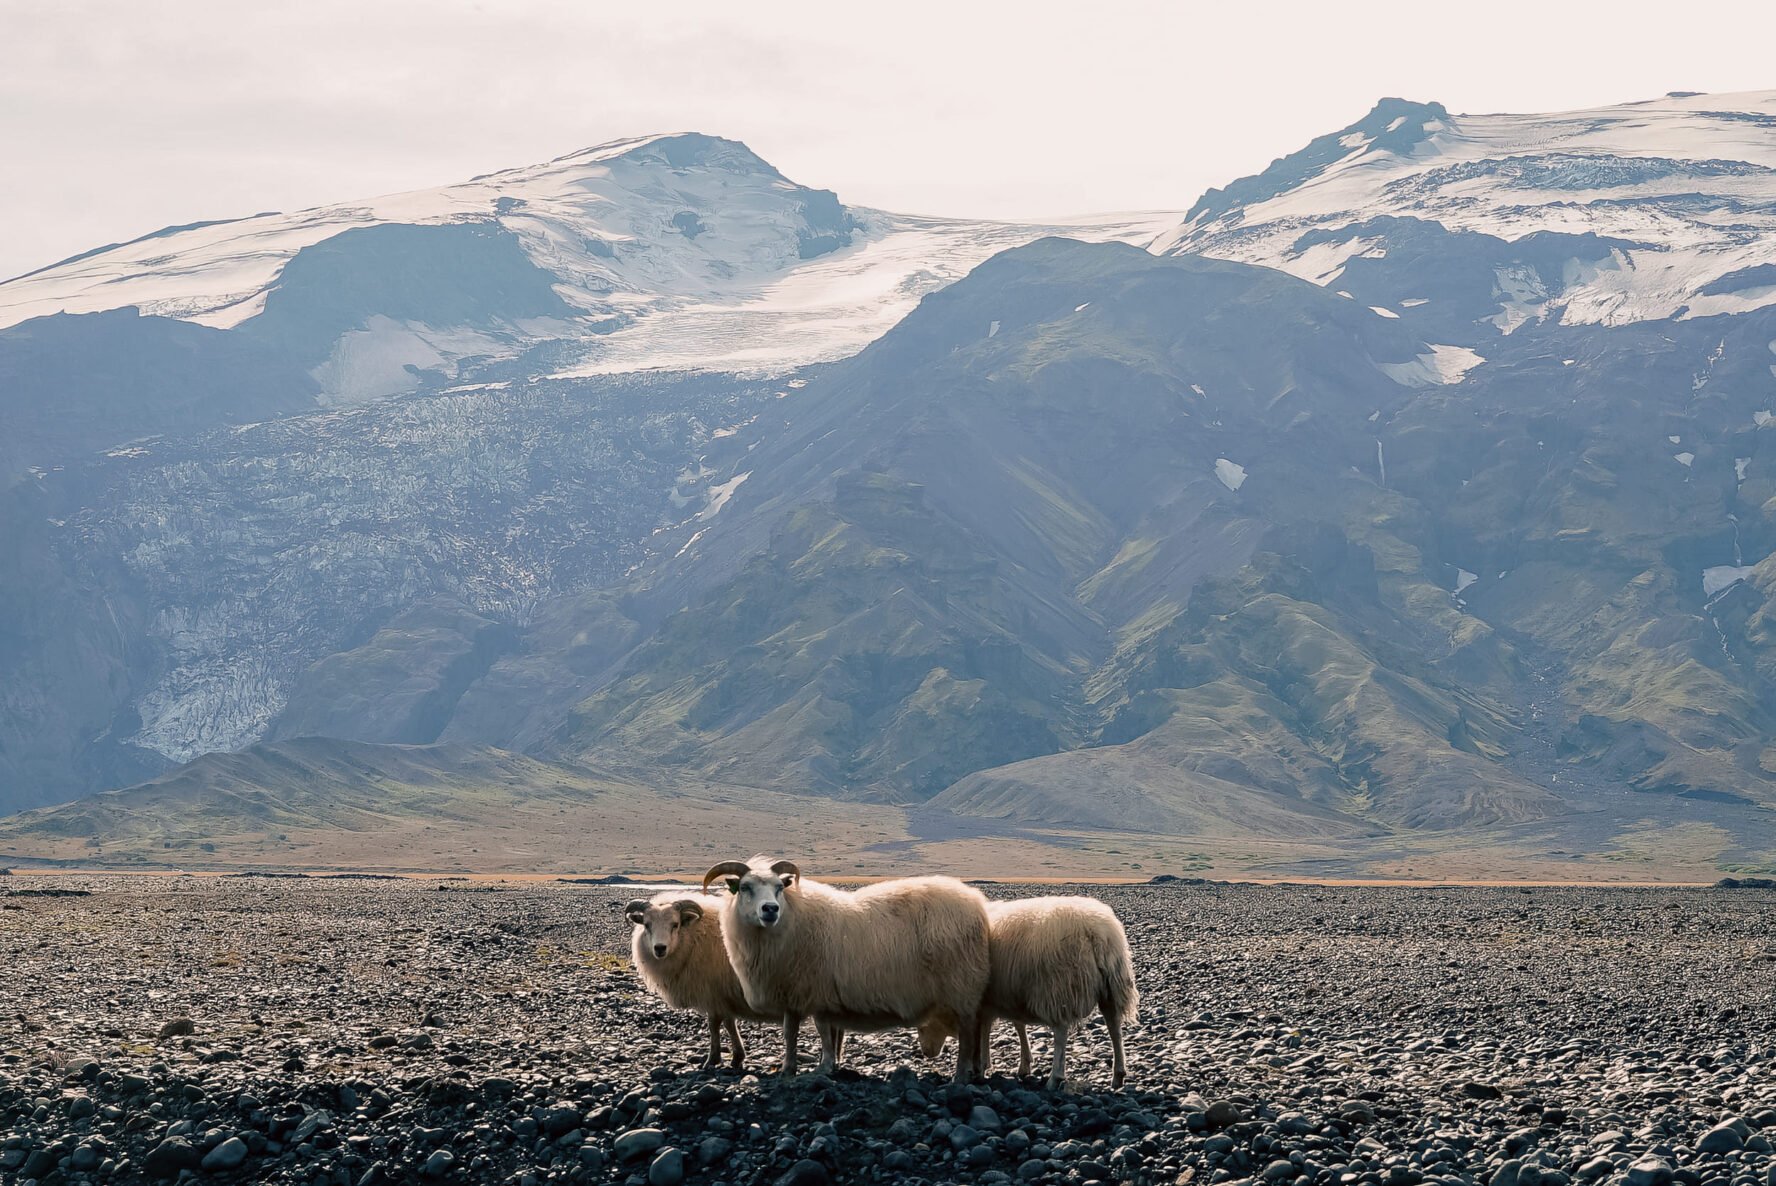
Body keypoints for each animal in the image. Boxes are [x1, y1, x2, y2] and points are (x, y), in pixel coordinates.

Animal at [626, 892, 781, 1069]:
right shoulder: (723, 995)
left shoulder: (713, 993)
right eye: (646, 925)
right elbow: (729, 1024)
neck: (693, 938)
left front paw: (713, 1059)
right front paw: (737, 1057)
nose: (659, 948)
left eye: (675, 924)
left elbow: (714, 1025)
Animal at [702, 857, 991, 1083]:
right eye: (745, 887)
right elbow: (798, 1033)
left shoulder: (815, 991)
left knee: (967, 1034)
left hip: (961, 985)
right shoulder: (797, 993)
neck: (790, 921)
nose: (770, 909)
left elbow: (819, 1031)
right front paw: (796, 1068)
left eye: (779, 888)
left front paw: (823, 1066)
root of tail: (977, 905)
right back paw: (976, 1071)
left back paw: (961, 1075)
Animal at [916, 895, 1138, 1090]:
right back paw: (1118, 1075)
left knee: (1061, 1031)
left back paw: (1055, 1078)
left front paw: (980, 1066)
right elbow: (1016, 1025)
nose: (926, 1053)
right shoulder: (1007, 994)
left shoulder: (980, 1002)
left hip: (1059, 988)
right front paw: (1022, 1064)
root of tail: (1098, 933)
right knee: (1114, 1028)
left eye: (921, 1026)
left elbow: (983, 1031)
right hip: (1111, 988)